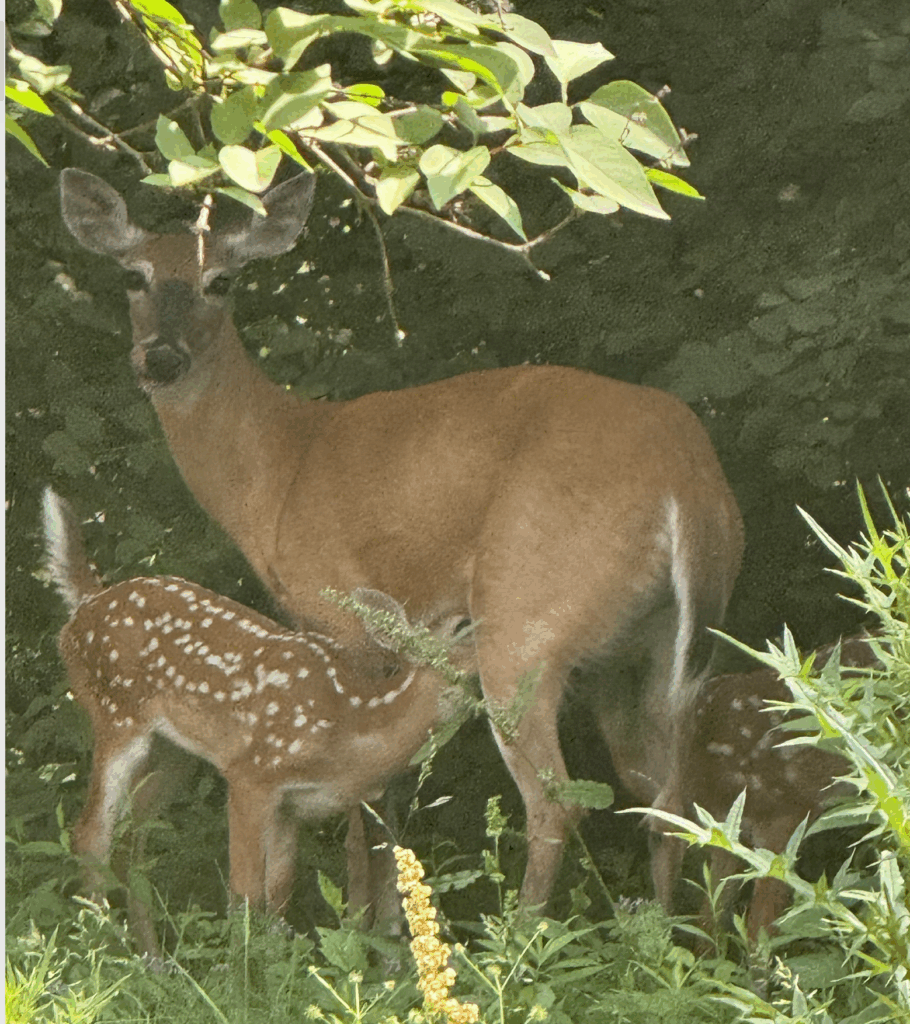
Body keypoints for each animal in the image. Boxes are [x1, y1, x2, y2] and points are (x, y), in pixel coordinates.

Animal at [42, 487, 472, 956]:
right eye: (462, 628)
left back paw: (153, 958)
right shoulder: (252, 775)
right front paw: (242, 972)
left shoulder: (290, 807)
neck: (352, 726)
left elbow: (277, 898)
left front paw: (276, 962)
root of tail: (86, 604)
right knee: (91, 835)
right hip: (117, 714)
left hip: (174, 754)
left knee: (132, 842)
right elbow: (244, 895)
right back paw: (105, 949)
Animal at [59, 167, 745, 914]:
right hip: (650, 651)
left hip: (529, 616)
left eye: (222, 281)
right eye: (134, 276)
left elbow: (367, 807)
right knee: (673, 801)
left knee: (556, 802)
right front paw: (385, 924)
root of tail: (688, 483)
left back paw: (526, 934)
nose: (162, 357)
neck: (278, 471)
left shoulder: (337, 611)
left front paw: (363, 922)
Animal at [603, 635, 881, 943]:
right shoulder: (728, 835)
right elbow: (711, 920)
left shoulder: (784, 817)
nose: (661, 918)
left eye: (654, 835)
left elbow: (759, 932)